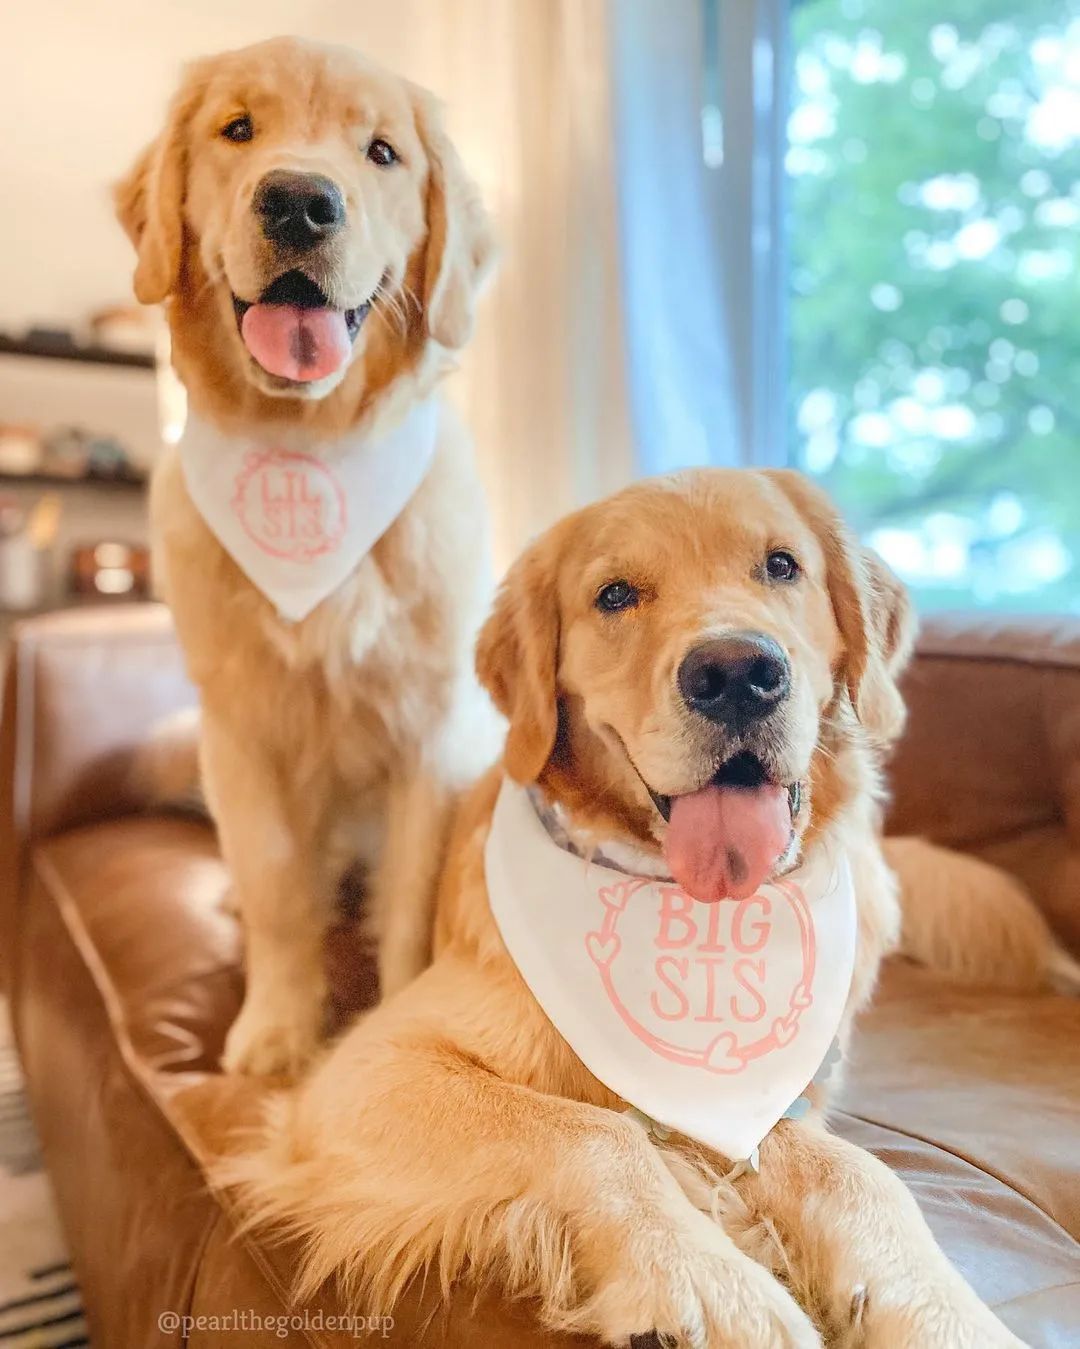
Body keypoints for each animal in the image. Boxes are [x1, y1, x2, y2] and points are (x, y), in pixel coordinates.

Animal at [114, 37, 497, 1075]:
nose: (297, 201)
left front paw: (392, 1015)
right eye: (238, 128)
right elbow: (281, 888)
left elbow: (408, 904)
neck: (309, 446)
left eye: (382, 152)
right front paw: (279, 1024)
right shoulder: (242, 730)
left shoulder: (429, 734)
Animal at [224, 469, 1027, 1347]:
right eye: (614, 595)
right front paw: (708, 1278)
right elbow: (593, 1130)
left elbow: (859, 1168)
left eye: (782, 565)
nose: (737, 673)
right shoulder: (369, 1066)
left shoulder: (769, 1094)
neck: (683, 901)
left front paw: (944, 1306)